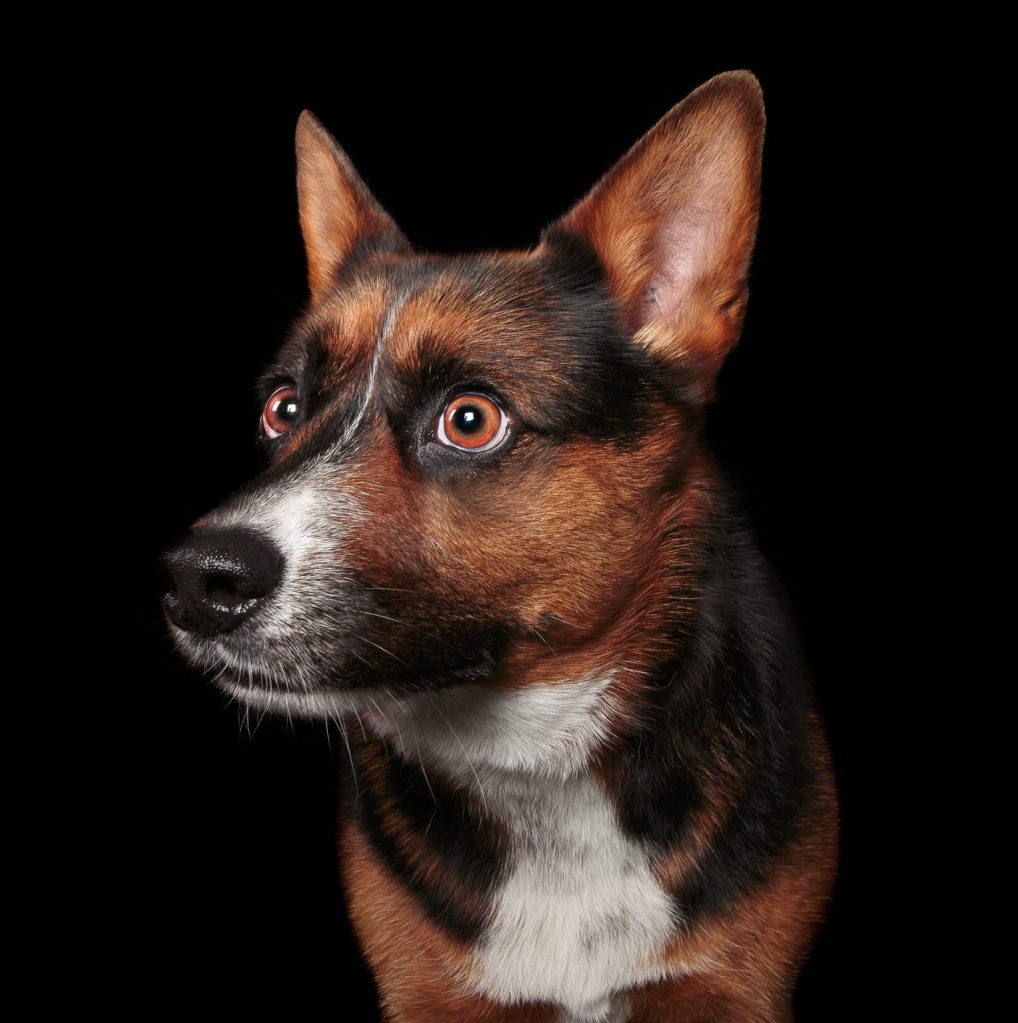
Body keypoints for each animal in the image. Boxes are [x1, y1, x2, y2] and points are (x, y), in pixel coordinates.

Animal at [163, 68, 838, 1018]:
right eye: (282, 409)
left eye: (471, 419)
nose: (197, 580)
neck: (534, 763)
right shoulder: (432, 993)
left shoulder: (731, 987)